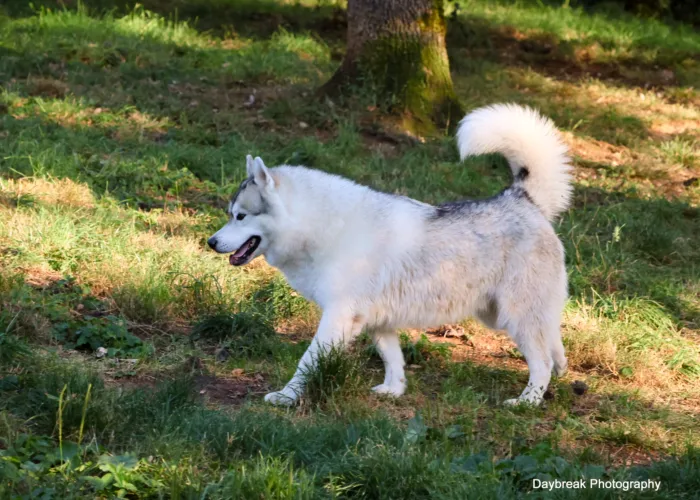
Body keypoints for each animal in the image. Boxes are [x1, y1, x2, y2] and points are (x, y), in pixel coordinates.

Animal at [206, 104, 568, 406]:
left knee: (541, 361)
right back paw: (560, 371)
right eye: (229, 214)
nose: (211, 242)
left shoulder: (338, 316)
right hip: (501, 313)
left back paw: (528, 401)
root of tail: (521, 197)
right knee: (553, 343)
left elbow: (306, 361)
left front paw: (286, 397)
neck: (322, 228)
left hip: (514, 316)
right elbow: (392, 359)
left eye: (240, 216)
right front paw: (394, 391)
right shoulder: (376, 320)